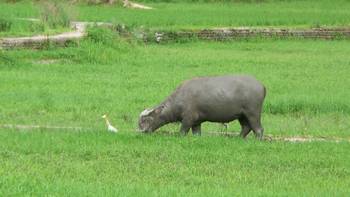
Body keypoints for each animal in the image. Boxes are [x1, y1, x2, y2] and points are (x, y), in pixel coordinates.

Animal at [138, 75, 266, 139]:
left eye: (147, 119)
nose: (140, 131)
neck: (180, 99)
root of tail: (262, 86)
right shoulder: (196, 122)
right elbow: (196, 133)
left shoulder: (188, 118)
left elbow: (183, 131)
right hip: (242, 115)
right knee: (246, 127)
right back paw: (238, 138)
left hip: (253, 113)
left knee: (258, 129)